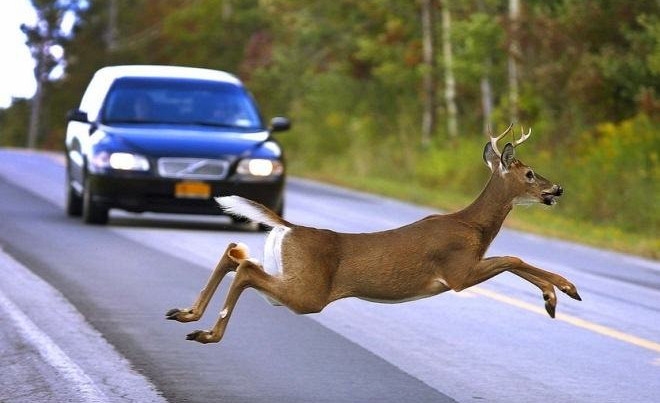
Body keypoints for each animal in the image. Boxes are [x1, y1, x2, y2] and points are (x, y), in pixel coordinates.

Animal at [166, 124, 584, 346]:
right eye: (529, 173)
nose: (558, 189)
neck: (474, 227)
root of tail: (291, 227)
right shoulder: (457, 271)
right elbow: (514, 257)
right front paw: (561, 291)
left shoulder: (465, 269)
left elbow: (514, 259)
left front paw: (555, 295)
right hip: (309, 293)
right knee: (246, 269)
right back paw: (207, 333)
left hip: (290, 275)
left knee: (235, 253)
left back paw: (186, 314)